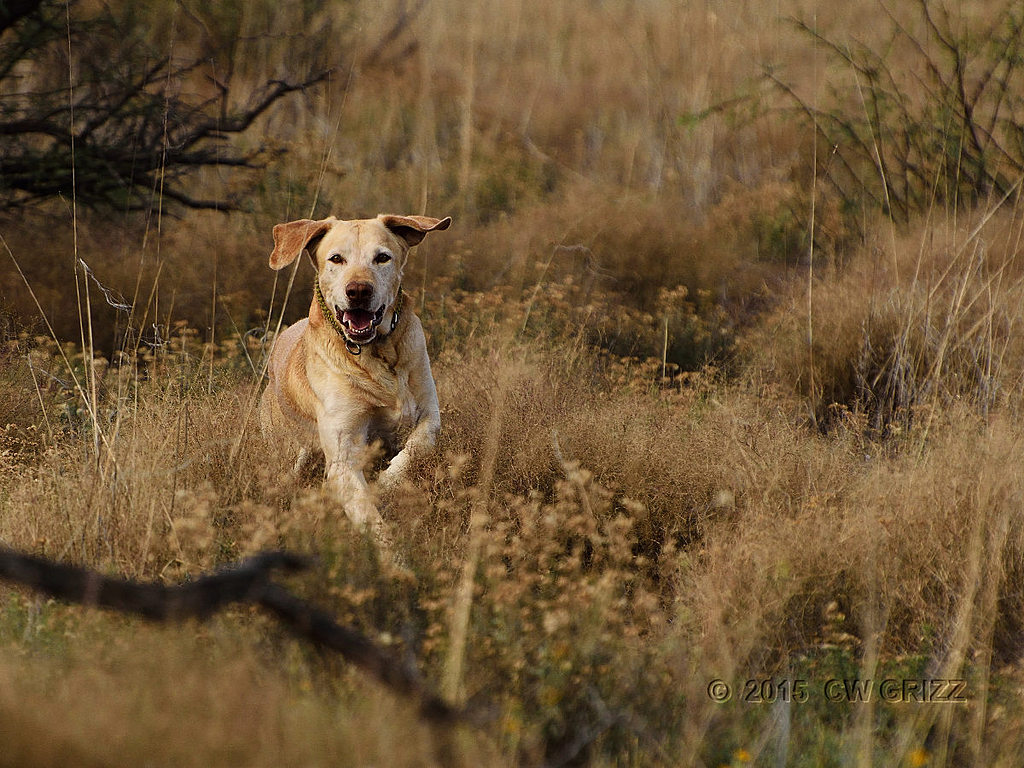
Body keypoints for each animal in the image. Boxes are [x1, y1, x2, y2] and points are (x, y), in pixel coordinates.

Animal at [259, 213, 451, 549]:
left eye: (382, 258)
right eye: (336, 258)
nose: (359, 290)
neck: (376, 353)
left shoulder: (430, 413)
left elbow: (420, 445)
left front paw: (387, 481)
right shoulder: (343, 457)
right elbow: (370, 517)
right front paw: (393, 557)